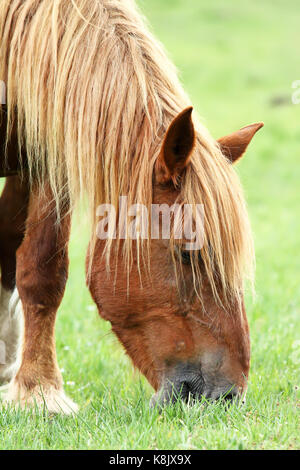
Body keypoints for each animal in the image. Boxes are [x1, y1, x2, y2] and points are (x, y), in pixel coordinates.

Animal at [0, 0, 262, 414]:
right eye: (188, 254)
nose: (226, 396)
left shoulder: (47, 153)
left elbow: (39, 267)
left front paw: (32, 386)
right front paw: (40, 392)